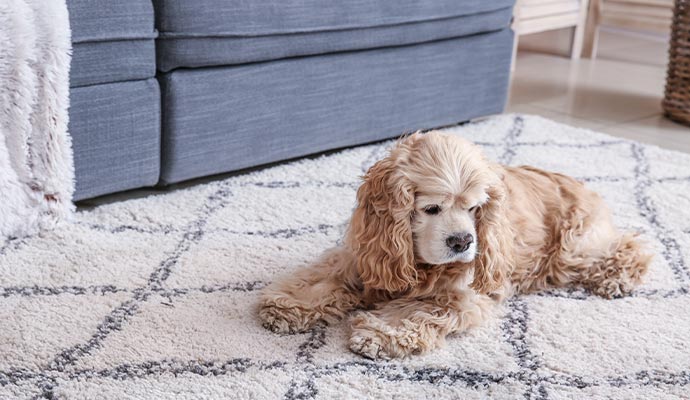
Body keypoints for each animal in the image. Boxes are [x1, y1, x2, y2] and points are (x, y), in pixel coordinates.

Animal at [255, 130, 648, 360]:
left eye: (475, 208)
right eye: (431, 208)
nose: (462, 241)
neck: (418, 260)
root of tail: (585, 185)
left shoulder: (461, 295)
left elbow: (419, 311)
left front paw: (380, 334)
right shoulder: (366, 258)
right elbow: (325, 278)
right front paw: (288, 305)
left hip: (573, 248)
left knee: (630, 244)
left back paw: (617, 278)